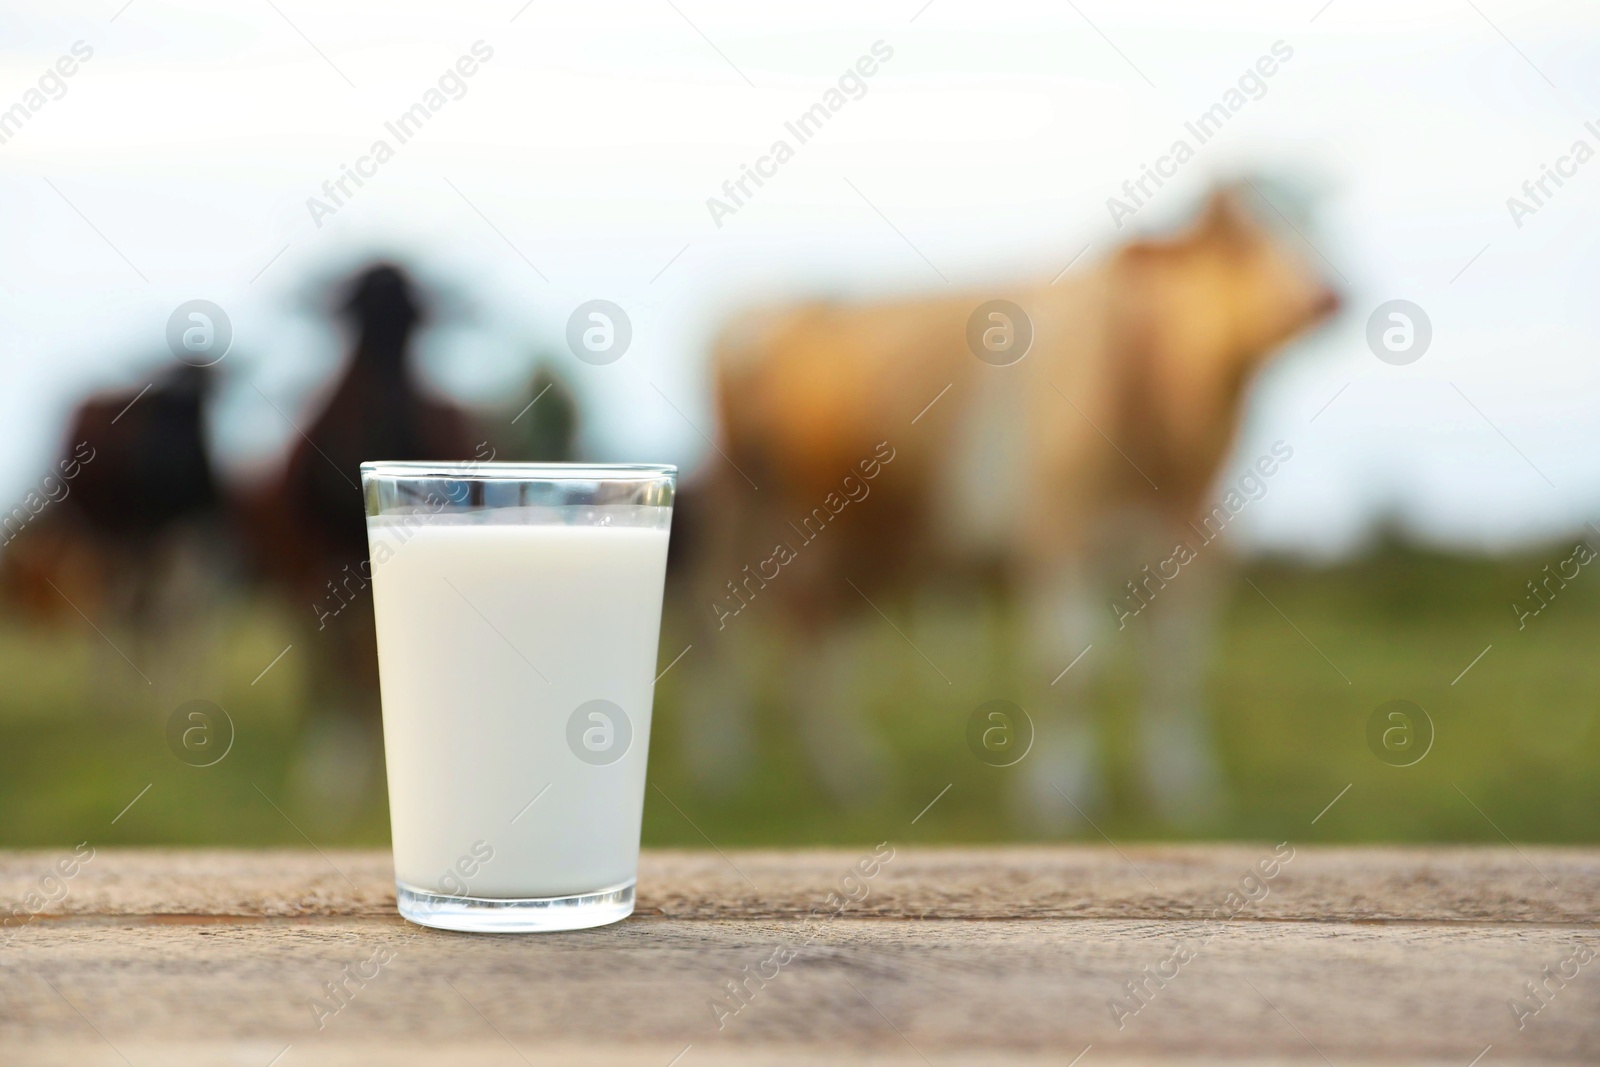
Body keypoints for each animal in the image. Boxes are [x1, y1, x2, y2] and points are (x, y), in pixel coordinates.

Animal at [681, 185, 1344, 825]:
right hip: (747, 510)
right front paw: (1056, 797)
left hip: (861, 535)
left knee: (813, 630)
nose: (1324, 297)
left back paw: (846, 774)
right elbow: (1068, 669)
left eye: (1312, 218)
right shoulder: (1057, 535)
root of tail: (770, 308)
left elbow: (1175, 670)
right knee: (725, 620)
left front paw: (1183, 790)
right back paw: (722, 763)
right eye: (1237, 242)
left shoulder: (1197, 545)